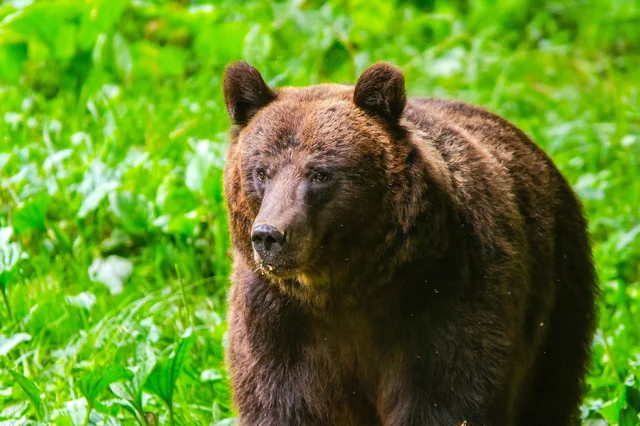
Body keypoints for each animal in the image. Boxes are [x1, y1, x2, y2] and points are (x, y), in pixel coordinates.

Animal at [222, 61, 597, 426]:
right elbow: (281, 402)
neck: (344, 290)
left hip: (558, 292)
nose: (269, 235)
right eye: (261, 171)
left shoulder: (446, 297)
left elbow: (446, 398)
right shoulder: (277, 321)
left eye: (319, 173)